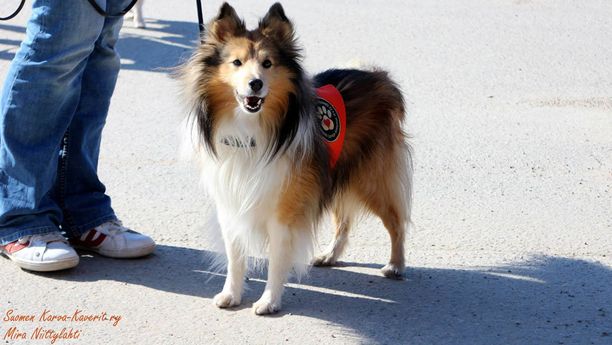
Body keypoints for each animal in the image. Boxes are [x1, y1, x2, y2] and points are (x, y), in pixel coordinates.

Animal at [179, 3, 414, 314]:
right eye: (236, 63)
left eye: (267, 63)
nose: (255, 84)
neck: (252, 131)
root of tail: (379, 76)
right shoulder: (231, 202)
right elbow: (235, 256)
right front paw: (231, 294)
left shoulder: (284, 208)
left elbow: (277, 260)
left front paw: (269, 301)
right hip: (335, 173)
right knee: (344, 220)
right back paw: (330, 255)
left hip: (371, 179)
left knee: (396, 221)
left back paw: (395, 265)